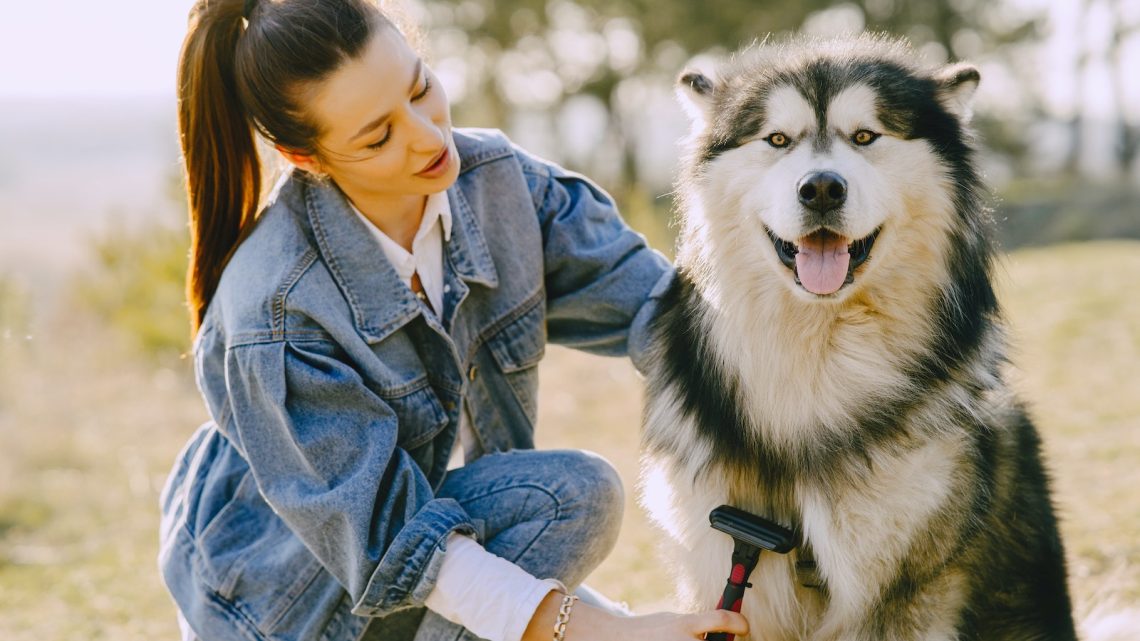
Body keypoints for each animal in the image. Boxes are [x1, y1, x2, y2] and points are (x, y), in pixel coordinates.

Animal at [642, 36, 1076, 638]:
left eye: (866, 136)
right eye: (777, 139)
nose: (821, 187)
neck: (820, 354)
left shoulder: (900, 590)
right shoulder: (726, 569)